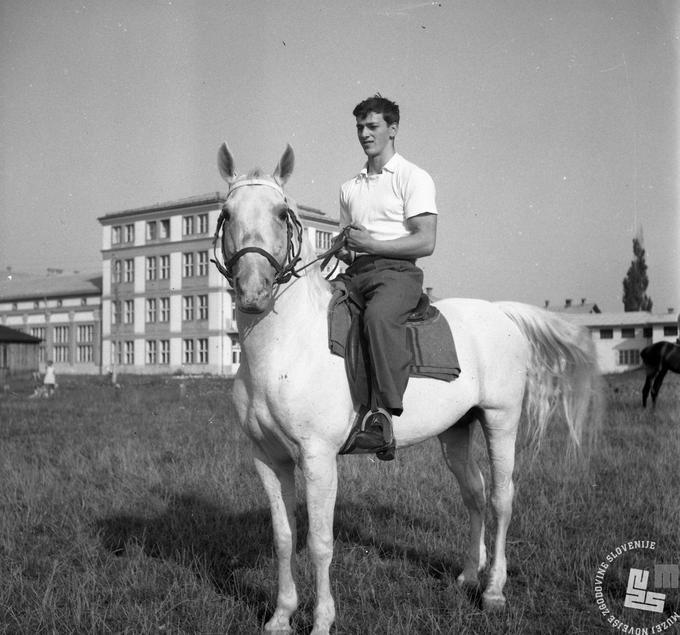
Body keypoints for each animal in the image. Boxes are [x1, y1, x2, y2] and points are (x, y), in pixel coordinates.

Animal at [215, 144, 604, 635]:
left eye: (282, 213)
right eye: (226, 213)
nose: (254, 293)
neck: (286, 347)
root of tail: (501, 312)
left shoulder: (318, 457)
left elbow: (320, 542)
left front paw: (321, 620)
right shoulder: (268, 458)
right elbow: (283, 537)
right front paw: (281, 616)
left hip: (501, 421)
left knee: (501, 498)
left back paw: (493, 590)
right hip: (456, 430)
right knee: (474, 493)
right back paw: (468, 575)